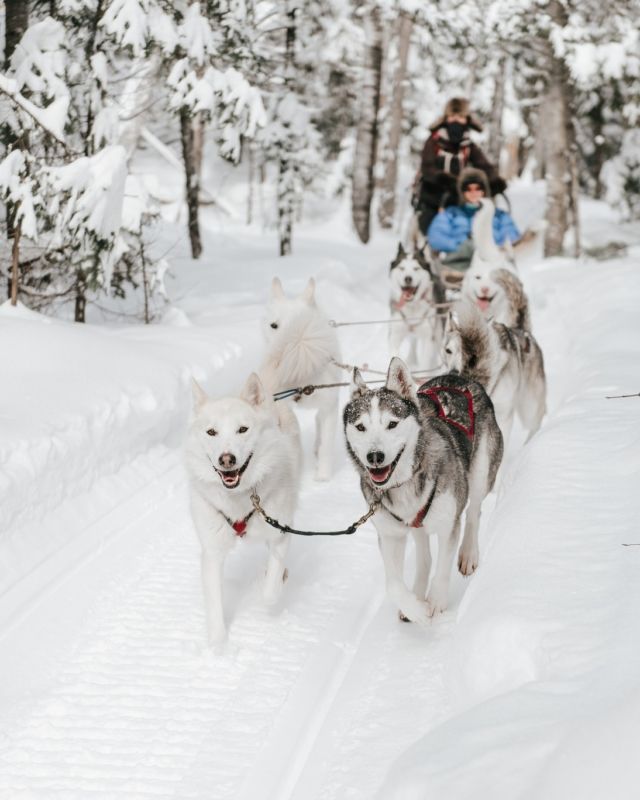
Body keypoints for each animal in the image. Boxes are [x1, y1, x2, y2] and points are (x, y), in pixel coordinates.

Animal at [184, 374, 302, 644]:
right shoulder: (212, 551)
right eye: (211, 432)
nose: (226, 459)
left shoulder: (281, 532)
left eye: (243, 429)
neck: (237, 499)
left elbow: (270, 591)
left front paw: (271, 580)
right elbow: (214, 606)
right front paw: (218, 646)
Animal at [260, 278, 340, 482]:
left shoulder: (330, 406)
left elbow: (327, 444)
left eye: (299, 323)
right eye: (273, 326)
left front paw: (323, 477)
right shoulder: (280, 404)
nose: (274, 358)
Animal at [342, 358, 502, 624]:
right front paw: (415, 609)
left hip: (480, 473)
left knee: (474, 511)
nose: (375, 456)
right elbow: (393, 585)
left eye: (392, 424)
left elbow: (442, 568)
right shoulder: (390, 535)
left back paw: (468, 553)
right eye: (361, 427)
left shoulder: (448, 525)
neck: (403, 483)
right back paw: (417, 591)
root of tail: (459, 377)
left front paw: (435, 601)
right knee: (424, 556)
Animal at [390, 244, 444, 372]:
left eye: (416, 268)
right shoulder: (395, 335)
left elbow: (425, 363)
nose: (408, 278)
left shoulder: (428, 338)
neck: (412, 307)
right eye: (402, 268)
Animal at [444, 302, 544, 446]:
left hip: (529, 407)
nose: (453, 372)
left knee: (536, 422)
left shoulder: (504, 414)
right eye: (448, 350)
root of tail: (523, 331)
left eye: (473, 355)